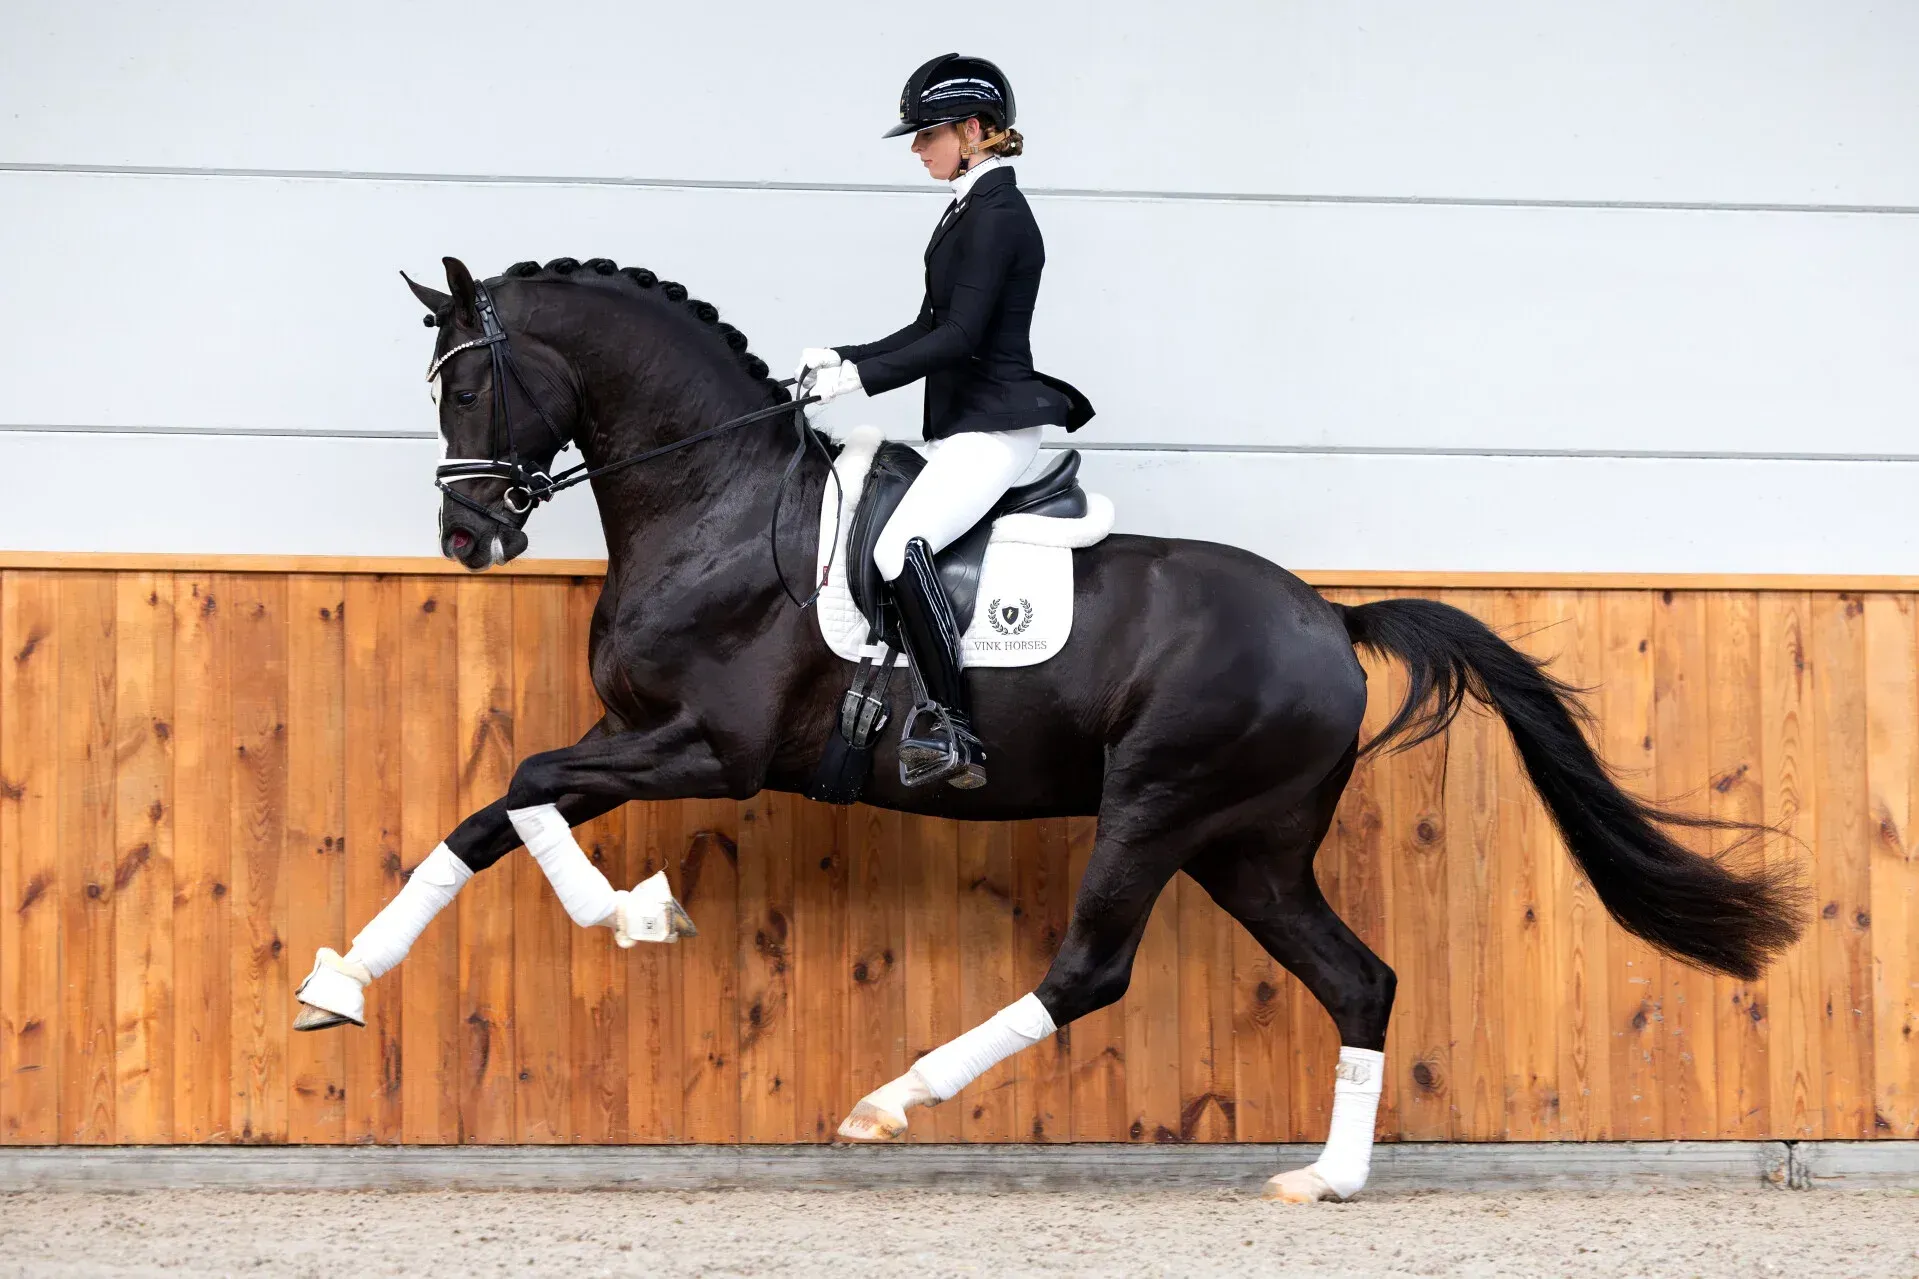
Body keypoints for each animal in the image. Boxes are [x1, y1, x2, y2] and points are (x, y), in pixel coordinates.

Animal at [303, 253, 1803, 1203]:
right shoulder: (642, 740)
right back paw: (1325, 1178)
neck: (715, 500)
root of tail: (1327, 619)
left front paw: (636, 913)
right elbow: (491, 813)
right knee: (1359, 979)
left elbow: (524, 782)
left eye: (465, 385)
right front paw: (338, 985)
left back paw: (889, 1100)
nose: (468, 537)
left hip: (1156, 802)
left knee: (1090, 967)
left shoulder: (708, 751)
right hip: (1247, 843)